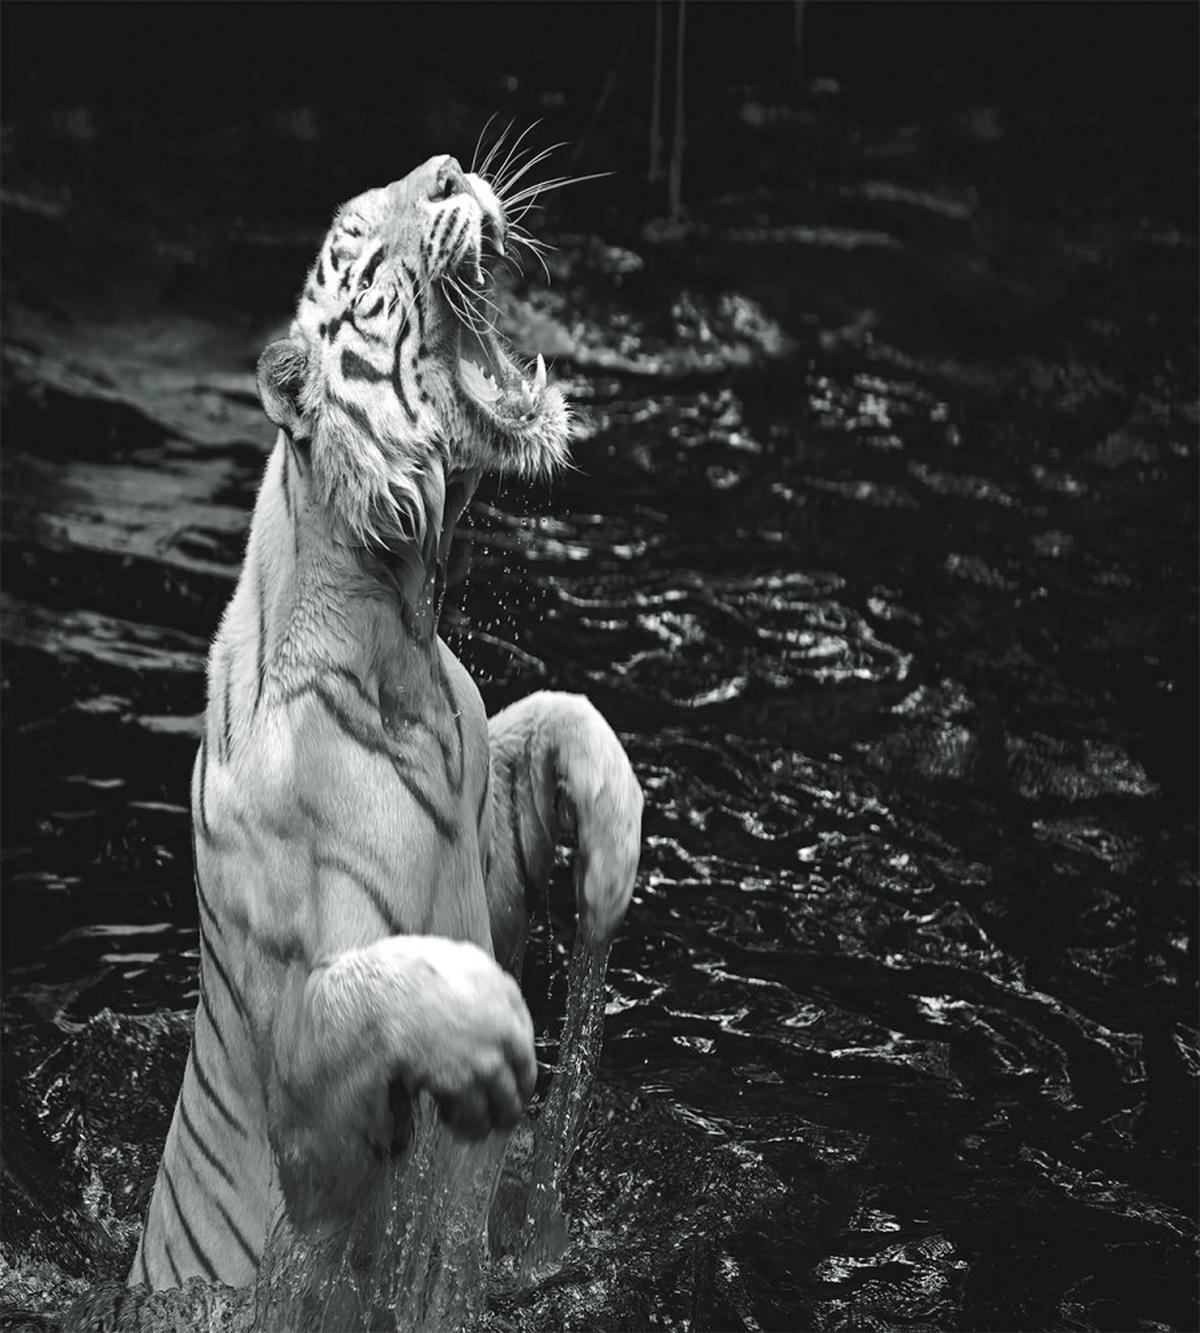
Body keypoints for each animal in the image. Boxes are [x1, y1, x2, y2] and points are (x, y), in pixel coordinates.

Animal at [130, 152, 643, 1292]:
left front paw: (612, 857)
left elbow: (562, 712)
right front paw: (495, 1038)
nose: (453, 169)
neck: (400, 620)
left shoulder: (479, 811)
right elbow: (365, 994)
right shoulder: (310, 1140)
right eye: (364, 259)